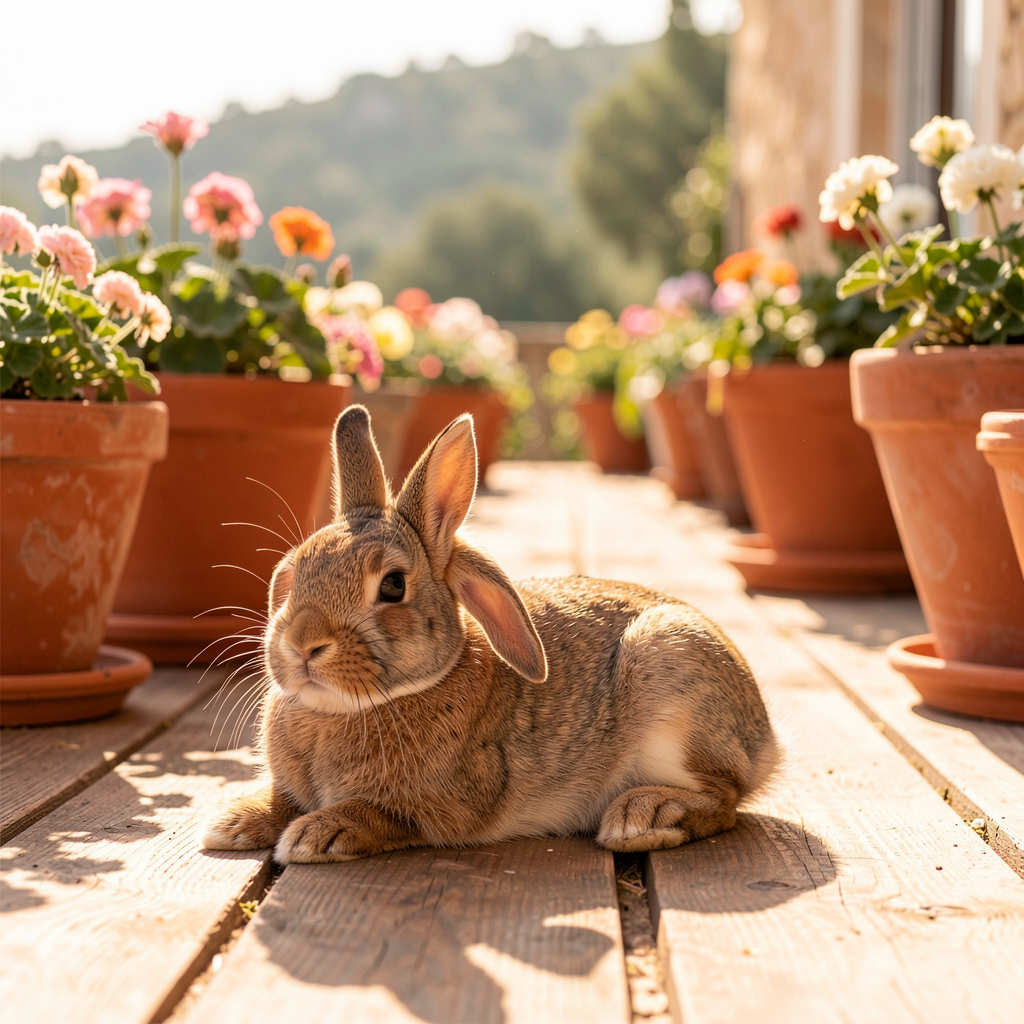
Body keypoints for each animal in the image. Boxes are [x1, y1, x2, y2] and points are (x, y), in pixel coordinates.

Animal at [202, 405, 779, 864]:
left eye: (392, 586)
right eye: (290, 571)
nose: (302, 644)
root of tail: (768, 741)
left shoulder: (449, 804)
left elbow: (381, 814)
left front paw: (317, 834)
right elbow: (281, 798)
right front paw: (231, 822)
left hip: (671, 669)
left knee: (724, 799)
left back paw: (646, 815)